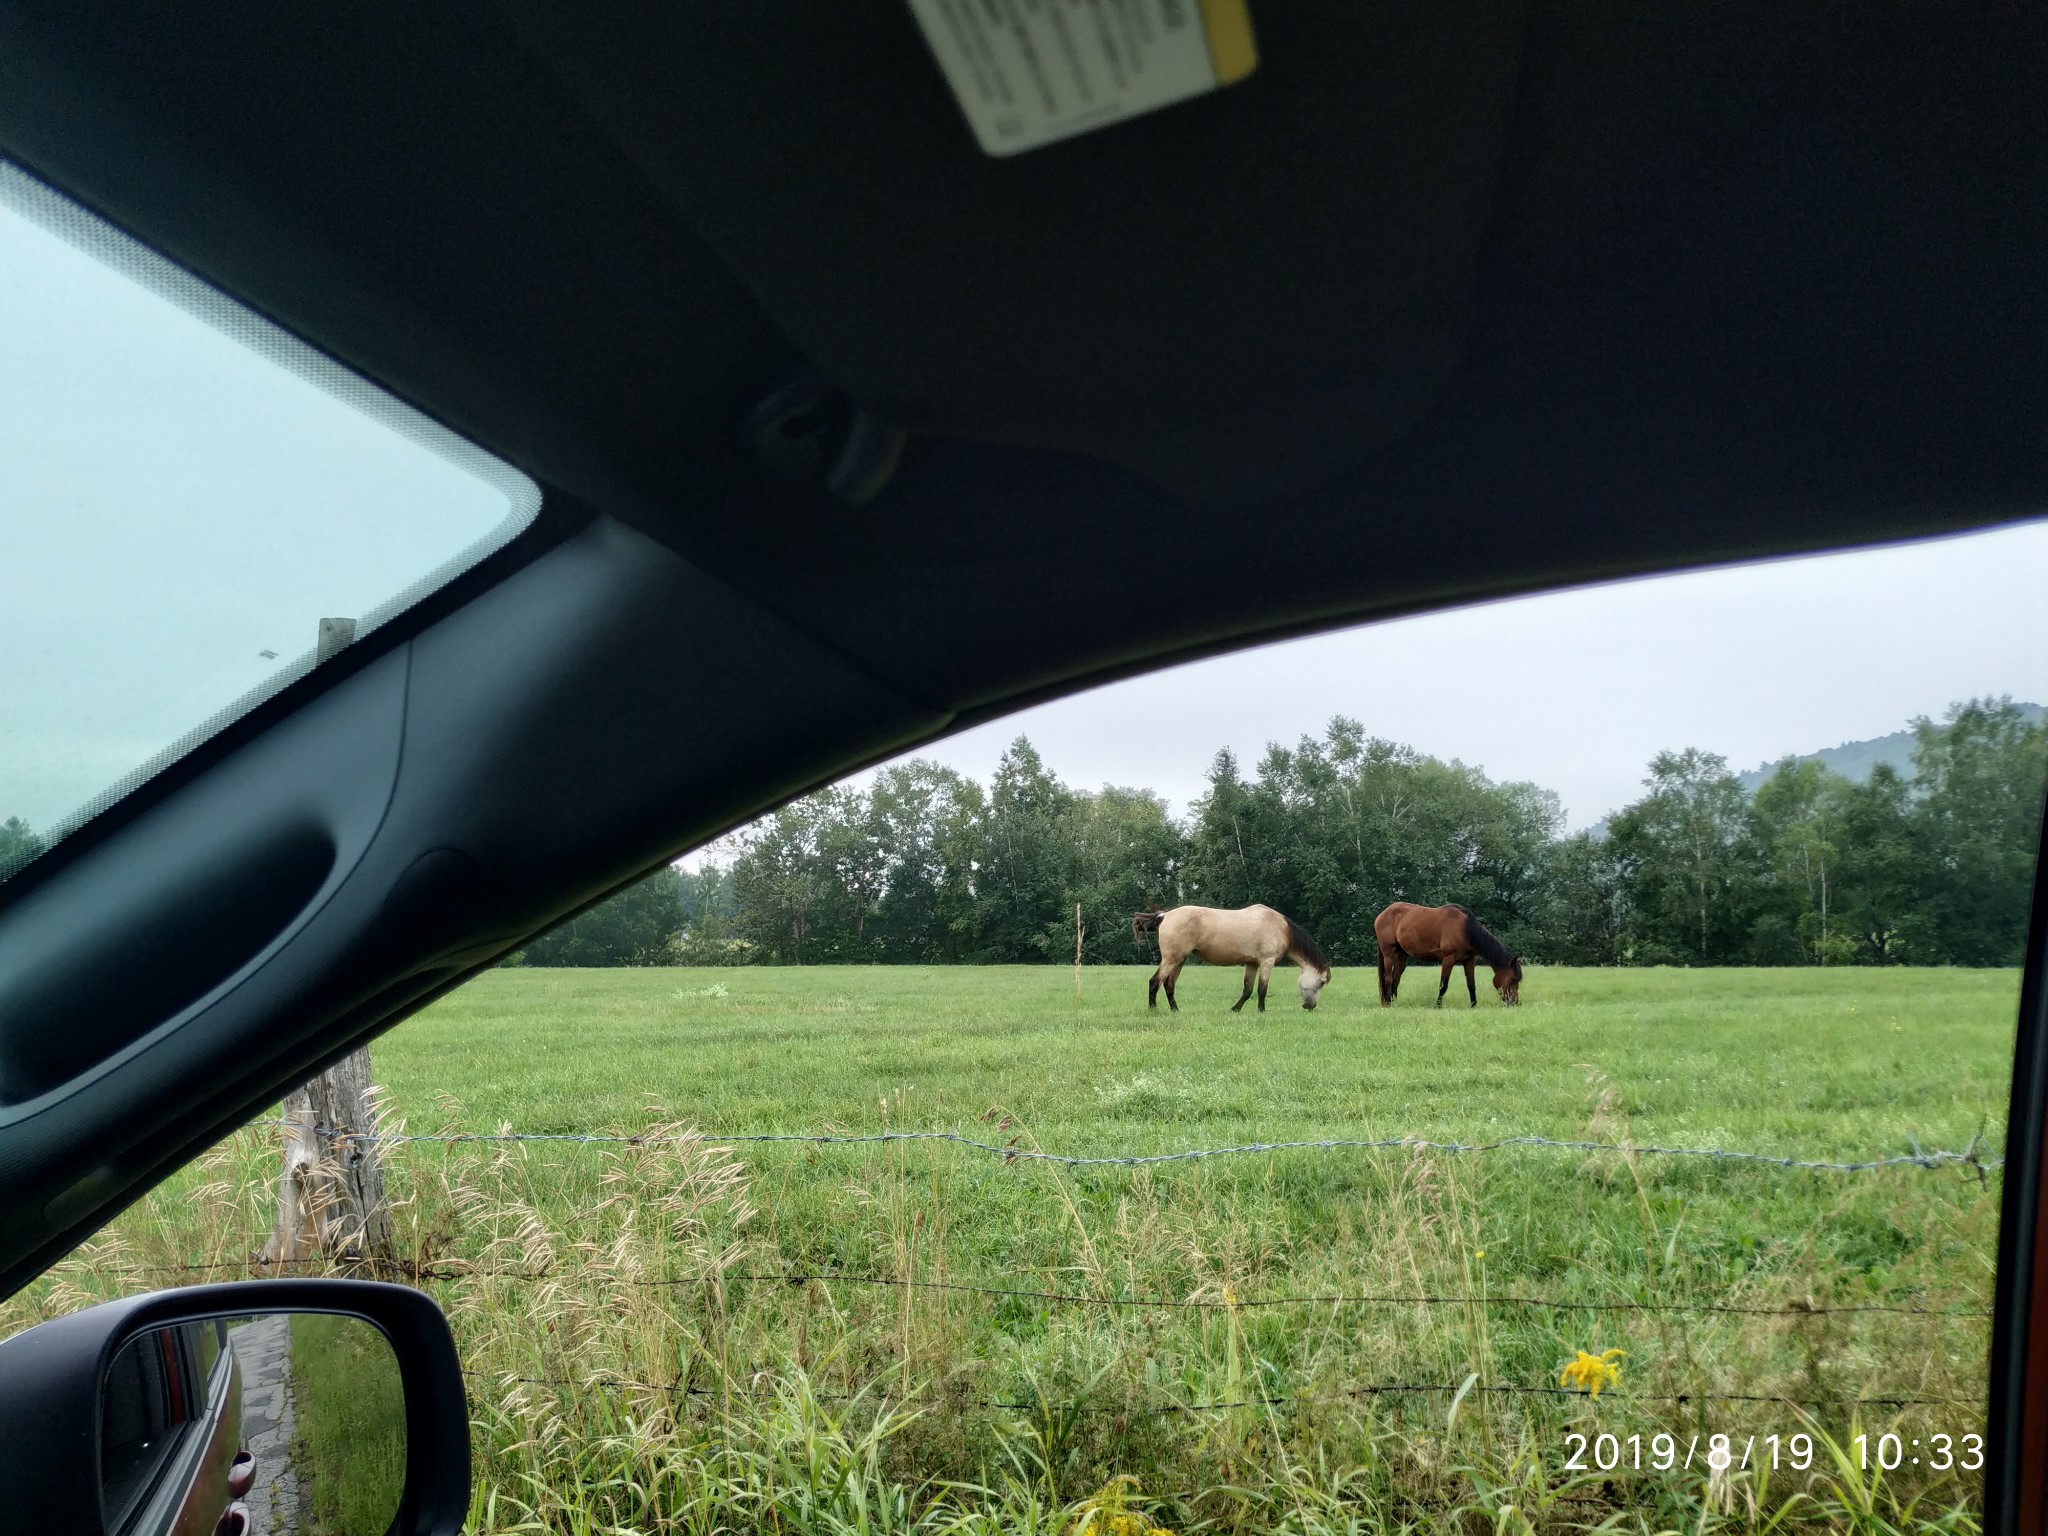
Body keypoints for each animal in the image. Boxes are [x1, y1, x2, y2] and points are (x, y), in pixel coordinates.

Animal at [1130, 909, 1335, 1015]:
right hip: (1171, 960)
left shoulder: (1252, 964)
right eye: (1322, 982)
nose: (1310, 1006)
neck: (1281, 928)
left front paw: (1235, 1009)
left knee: (1169, 984)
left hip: (1178, 961)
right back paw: (1153, 1010)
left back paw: (1175, 1010)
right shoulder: (1267, 962)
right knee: (1155, 982)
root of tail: (1164, 915)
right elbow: (1262, 989)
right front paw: (1261, 1011)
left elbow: (1247, 990)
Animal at [1376, 901, 1523, 1011]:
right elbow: (1443, 985)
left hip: (1402, 955)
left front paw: (1474, 1006)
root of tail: (1382, 914)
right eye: (1512, 979)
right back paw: (1388, 1003)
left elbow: (1471, 985)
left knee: (1396, 978)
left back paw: (1394, 1002)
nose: (1514, 1003)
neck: (1465, 929)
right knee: (1388, 978)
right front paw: (1437, 1006)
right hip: (1388, 953)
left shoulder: (1469, 960)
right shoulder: (1448, 959)